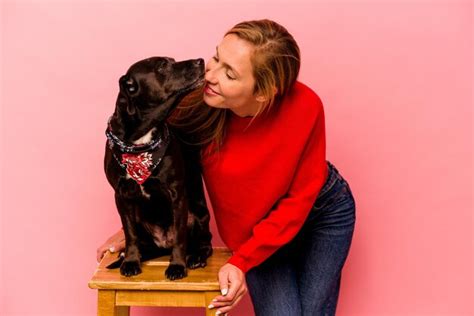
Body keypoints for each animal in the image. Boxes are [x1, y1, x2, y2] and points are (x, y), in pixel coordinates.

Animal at [106, 56, 215, 278]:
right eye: (163, 66)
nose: (200, 60)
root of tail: (162, 244)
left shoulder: (177, 194)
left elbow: (180, 236)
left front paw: (177, 265)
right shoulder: (121, 196)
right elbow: (129, 234)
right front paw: (130, 261)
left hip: (199, 217)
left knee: (203, 243)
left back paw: (196, 257)